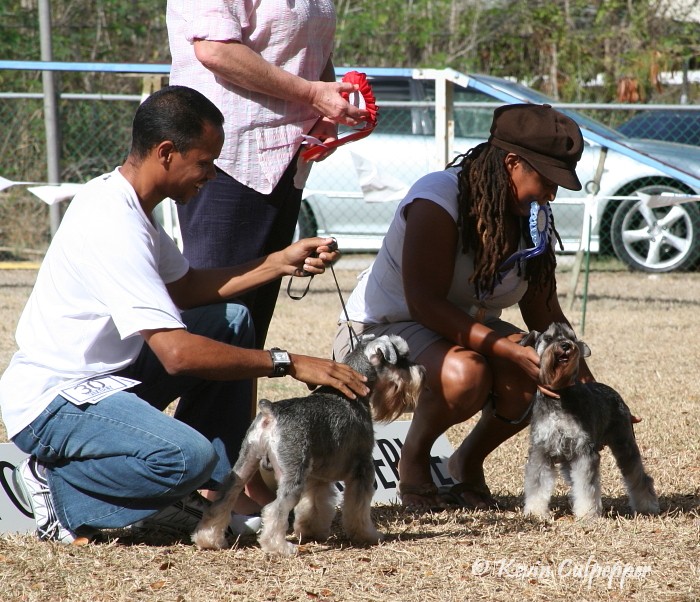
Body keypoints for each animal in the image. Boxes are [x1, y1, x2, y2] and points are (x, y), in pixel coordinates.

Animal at [191, 332, 424, 552]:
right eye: (402, 358)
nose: (422, 370)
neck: (354, 393)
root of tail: (270, 412)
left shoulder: (317, 476)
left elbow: (314, 505)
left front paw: (312, 531)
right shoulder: (363, 469)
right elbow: (358, 507)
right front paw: (368, 535)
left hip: (246, 462)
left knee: (224, 498)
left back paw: (208, 538)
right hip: (292, 474)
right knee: (275, 509)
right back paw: (280, 547)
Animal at [524, 322, 660, 516]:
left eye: (571, 337)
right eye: (549, 338)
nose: (566, 345)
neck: (560, 396)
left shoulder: (584, 451)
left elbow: (586, 487)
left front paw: (587, 513)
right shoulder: (541, 451)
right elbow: (537, 484)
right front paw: (535, 512)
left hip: (624, 445)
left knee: (639, 476)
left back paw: (647, 505)